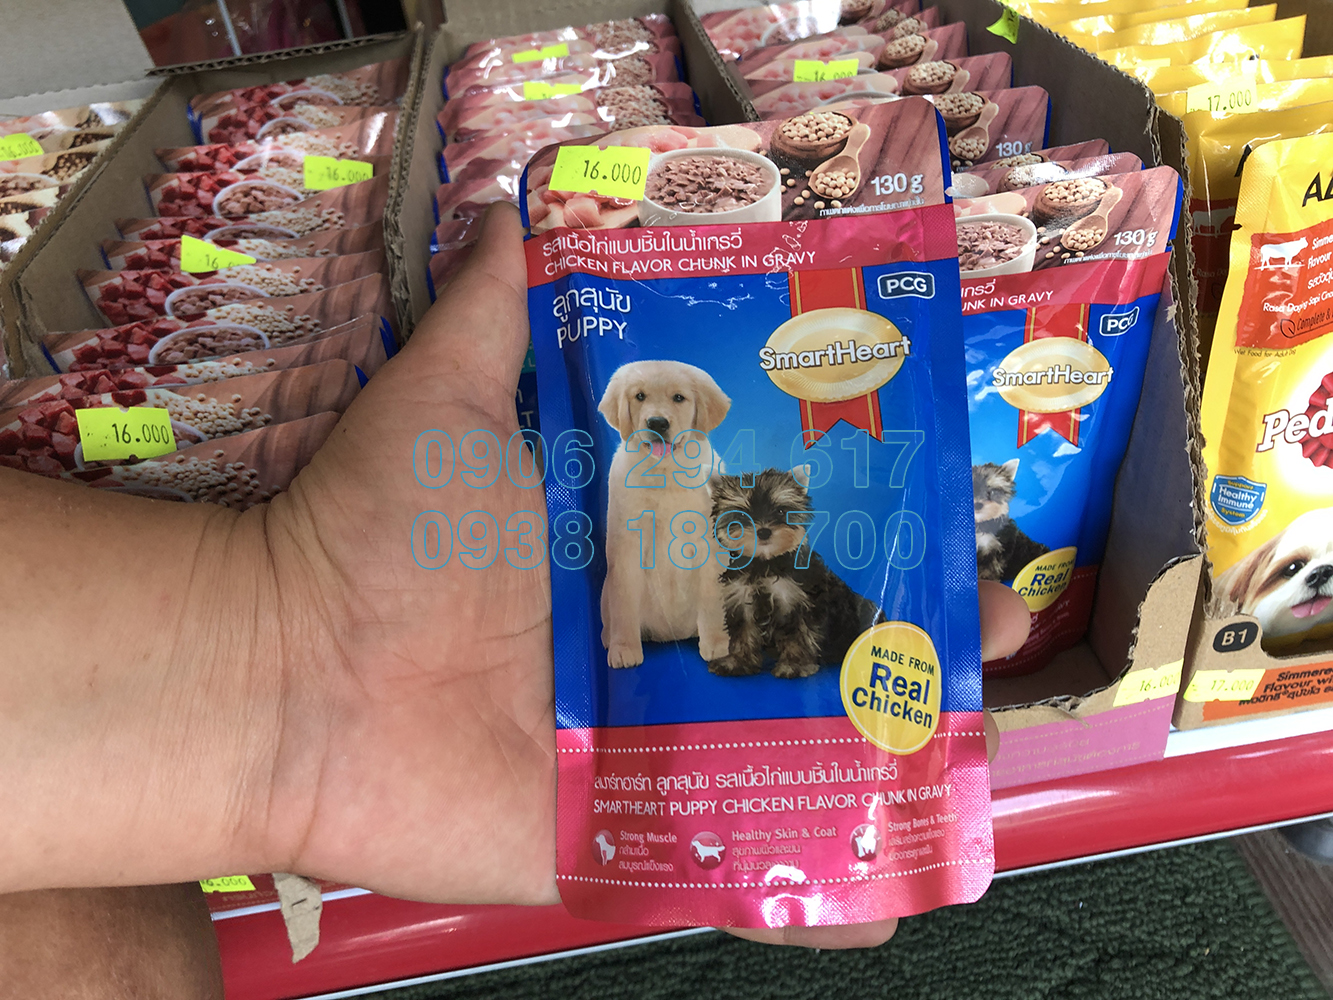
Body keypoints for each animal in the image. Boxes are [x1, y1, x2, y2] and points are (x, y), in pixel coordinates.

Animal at [599, 360, 732, 668]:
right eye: (639, 396)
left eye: (679, 398)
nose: (657, 423)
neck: (664, 470)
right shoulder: (626, 545)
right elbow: (624, 601)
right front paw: (624, 648)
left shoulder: (710, 545)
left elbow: (712, 597)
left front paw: (717, 643)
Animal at [708, 465, 883, 678]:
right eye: (741, 516)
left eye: (781, 510)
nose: (764, 531)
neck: (765, 563)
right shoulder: (741, 596)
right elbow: (743, 630)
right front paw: (737, 662)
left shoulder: (797, 599)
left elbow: (800, 633)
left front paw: (795, 665)